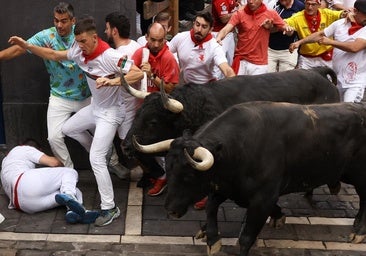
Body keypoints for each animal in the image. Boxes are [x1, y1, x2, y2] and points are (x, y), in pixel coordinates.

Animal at [136, 102, 366, 256]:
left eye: (190, 175)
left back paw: (358, 231)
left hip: (359, 174)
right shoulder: (226, 186)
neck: (239, 148)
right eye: (169, 168)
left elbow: (246, 237)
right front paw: (212, 238)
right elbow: (211, 207)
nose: (171, 211)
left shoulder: (262, 198)